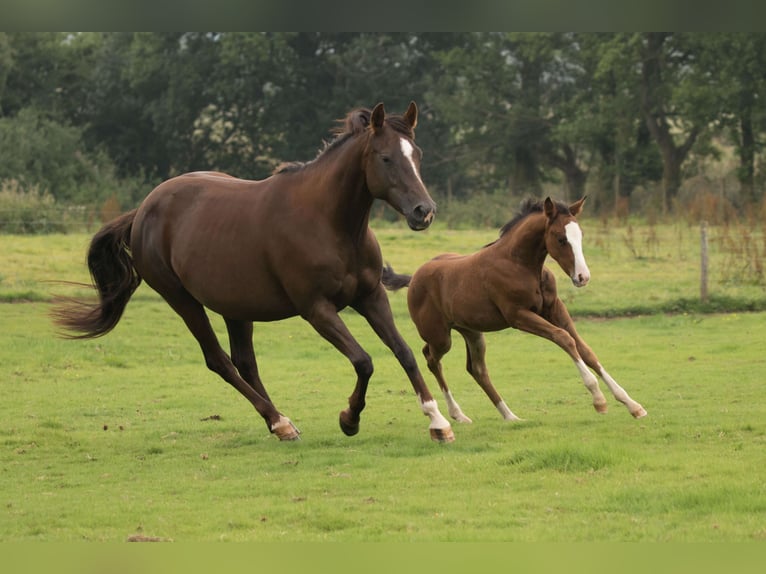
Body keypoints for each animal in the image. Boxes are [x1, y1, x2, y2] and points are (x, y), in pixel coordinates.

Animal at [54, 102, 456, 446]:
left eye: (417, 155)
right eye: (385, 158)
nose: (424, 211)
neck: (331, 223)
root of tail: (143, 210)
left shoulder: (370, 296)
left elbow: (404, 352)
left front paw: (439, 422)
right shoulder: (317, 310)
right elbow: (364, 361)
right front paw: (349, 419)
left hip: (235, 307)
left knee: (245, 362)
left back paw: (282, 423)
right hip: (183, 301)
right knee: (219, 360)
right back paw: (279, 422)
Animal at [384, 198, 648, 428]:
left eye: (580, 235)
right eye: (561, 239)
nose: (583, 277)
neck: (521, 264)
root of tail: (414, 278)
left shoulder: (555, 309)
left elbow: (585, 350)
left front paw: (632, 404)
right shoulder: (519, 316)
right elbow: (564, 339)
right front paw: (599, 400)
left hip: (473, 333)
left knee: (476, 369)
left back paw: (510, 416)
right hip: (440, 337)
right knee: (430, 358)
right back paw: (458, 414)